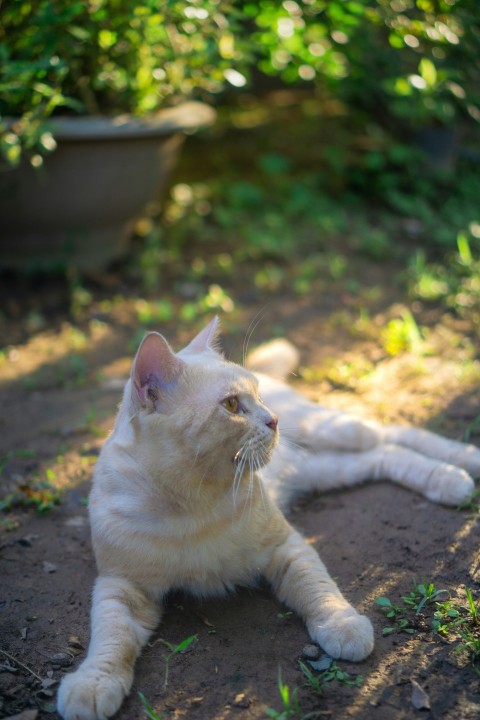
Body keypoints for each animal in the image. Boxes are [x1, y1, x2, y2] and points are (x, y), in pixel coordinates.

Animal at [57, 320, 480, 720]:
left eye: (257, 396)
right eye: (231, 405)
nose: (273, 419)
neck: (190, 508)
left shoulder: (287, 547)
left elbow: (319, 591)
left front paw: (342, 626)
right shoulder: (121, 588)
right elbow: (110, 640)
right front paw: (92, 684)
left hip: (336, 432)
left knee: (392, 433)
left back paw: (461, 467)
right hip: (324, 468)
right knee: (384, 454)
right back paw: (447, 479)